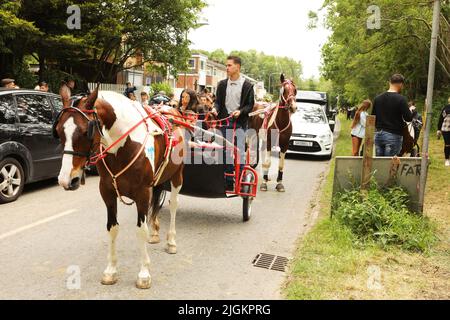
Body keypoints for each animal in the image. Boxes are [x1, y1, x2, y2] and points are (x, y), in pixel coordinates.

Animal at [54, 86, 186, 288]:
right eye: (59, 131)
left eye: (85, 132)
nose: (66, 180)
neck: (124, 145)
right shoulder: (107, 192)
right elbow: (112, 228)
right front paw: (111, 270)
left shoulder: (142, 194)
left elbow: (140, 229)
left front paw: (144, 273)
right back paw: (155, 233)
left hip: (177, 175)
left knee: (173, 205)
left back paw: (171, 241)